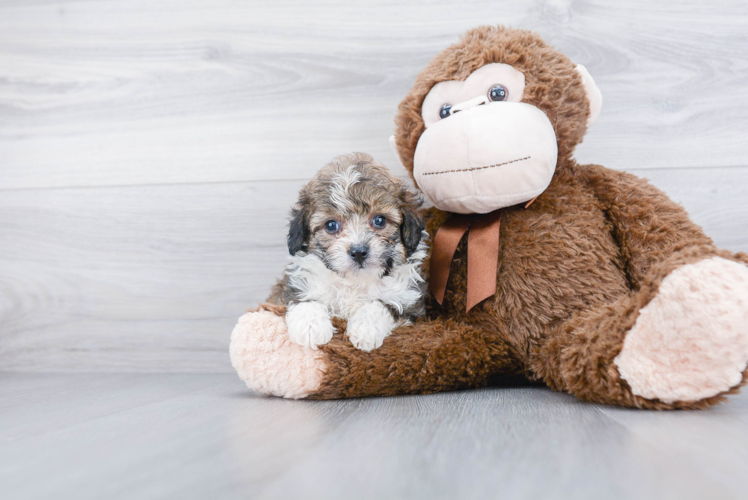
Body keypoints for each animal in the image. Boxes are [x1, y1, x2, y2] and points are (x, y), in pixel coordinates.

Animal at [270, 152, 426, 352]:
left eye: (379, 221)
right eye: (331, 225)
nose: (358, 251)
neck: (355, 282)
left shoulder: (411, 304)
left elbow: (384, 304)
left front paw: (366, 328)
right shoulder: (288, 290)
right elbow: (303, 298)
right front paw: (310, 325)